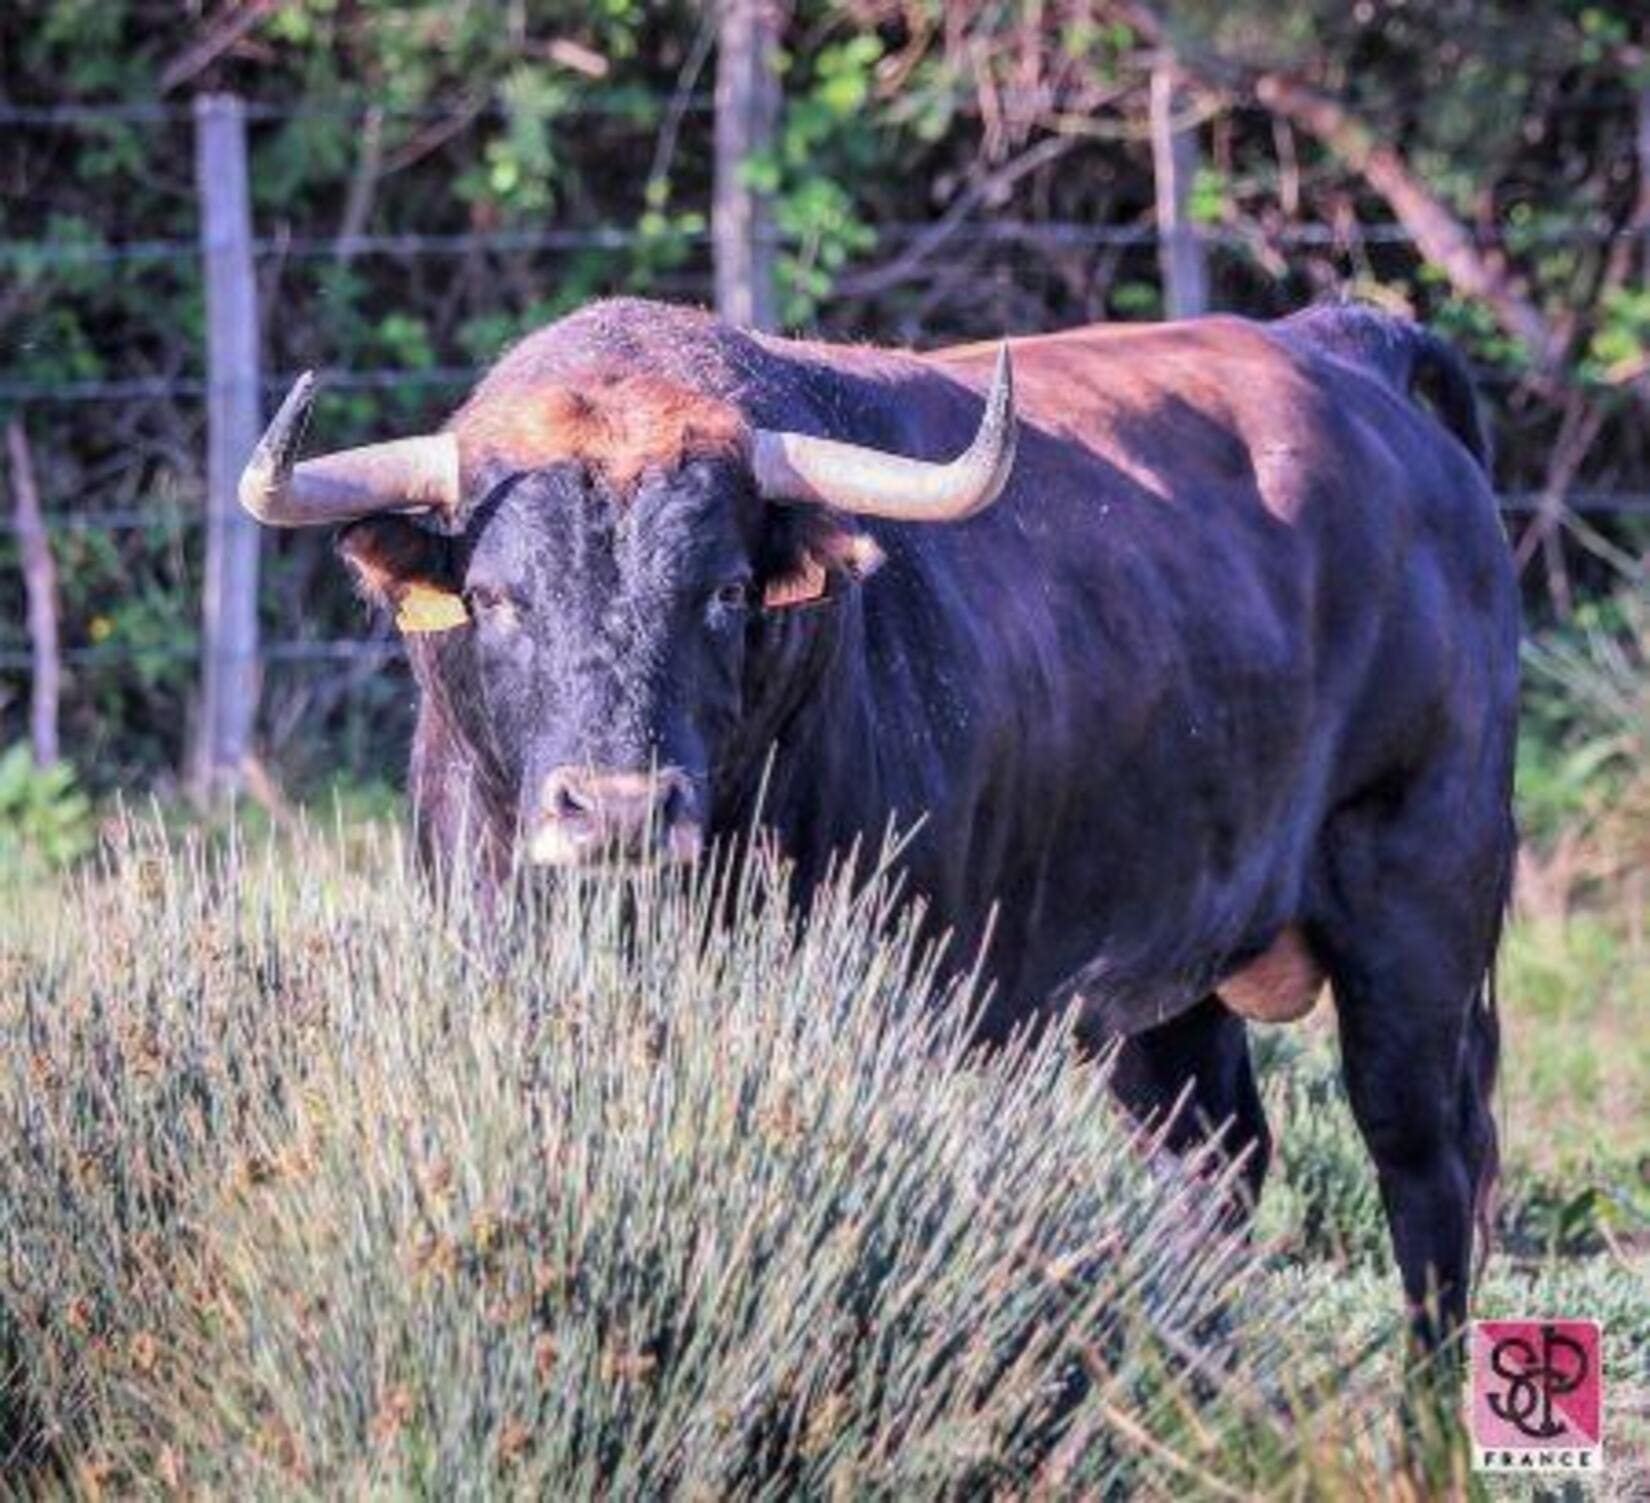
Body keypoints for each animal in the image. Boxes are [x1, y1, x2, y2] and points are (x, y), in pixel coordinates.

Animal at [239, 296, 1511, 1352]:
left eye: (724, 591)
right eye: (499, 596)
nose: (617, 809)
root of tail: (1345, 345)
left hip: (1421, 915)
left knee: (1427, 1174)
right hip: (1169, 985)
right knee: (1216, 1163)